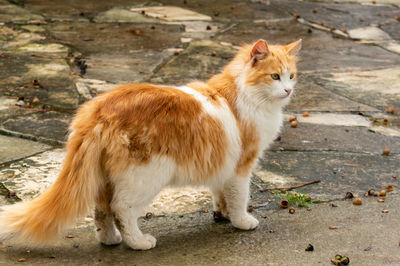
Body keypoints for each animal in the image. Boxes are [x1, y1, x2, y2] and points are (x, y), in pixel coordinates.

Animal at [0, 38, 300, 250]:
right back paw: (138, 242)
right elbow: (240, 198)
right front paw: (241, 221)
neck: (245, 93)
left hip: (106, 178)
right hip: (146, 177)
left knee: (101, 211)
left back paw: (109, 240)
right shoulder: (242, 166)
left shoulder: (222, 164)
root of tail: (98, 108)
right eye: (275, 76)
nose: (288, 90)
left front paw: (223, 215)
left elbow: (221, 195)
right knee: (121, 210)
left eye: (292, 76)